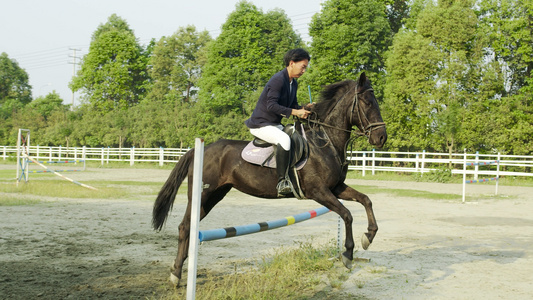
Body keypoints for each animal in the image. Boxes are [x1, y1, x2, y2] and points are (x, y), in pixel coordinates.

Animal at [152, 72, 384, 286]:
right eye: (367, 103)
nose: (381, 137)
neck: (324, 141)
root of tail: (201, 148)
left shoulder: (336, 188)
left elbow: (366, 200)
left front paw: (369, 236)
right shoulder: (318, 191)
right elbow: (347, 214)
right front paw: (348, 254)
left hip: (214, 196)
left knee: (190, 227)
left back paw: (177, 269)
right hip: (202, 193)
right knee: (185, 227)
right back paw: (176, 274)